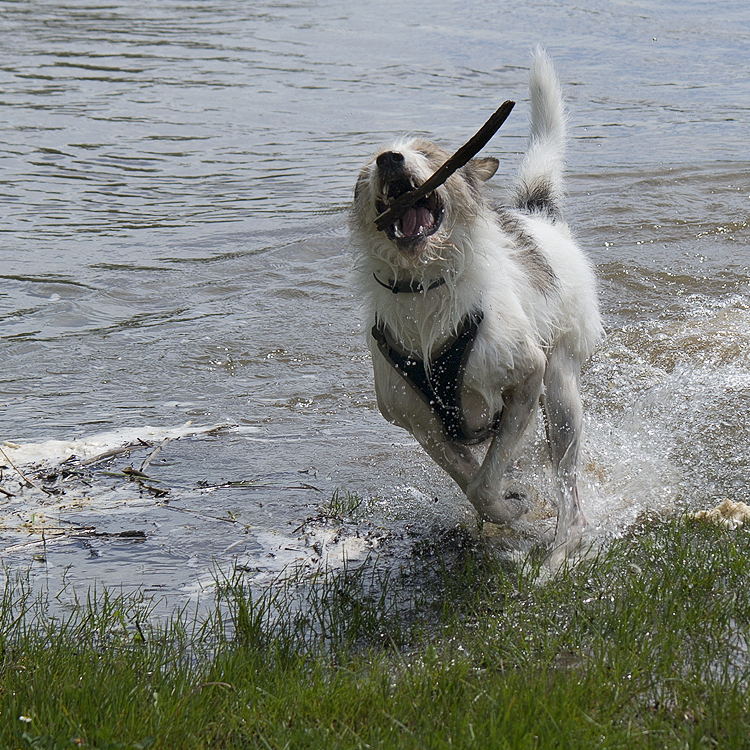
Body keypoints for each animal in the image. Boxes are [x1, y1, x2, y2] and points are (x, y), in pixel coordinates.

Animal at [352, 50, 604, 560]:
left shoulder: (526, 379)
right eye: (369, 165)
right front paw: (508, 507)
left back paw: (559, 554)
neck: (424, 290)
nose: (389, 158)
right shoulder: (422, 423)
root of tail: (538, 216)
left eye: (430, 154)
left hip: (561, 390)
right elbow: (471, 479)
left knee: (571, 496)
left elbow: (485, 482)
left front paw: (512, 509)